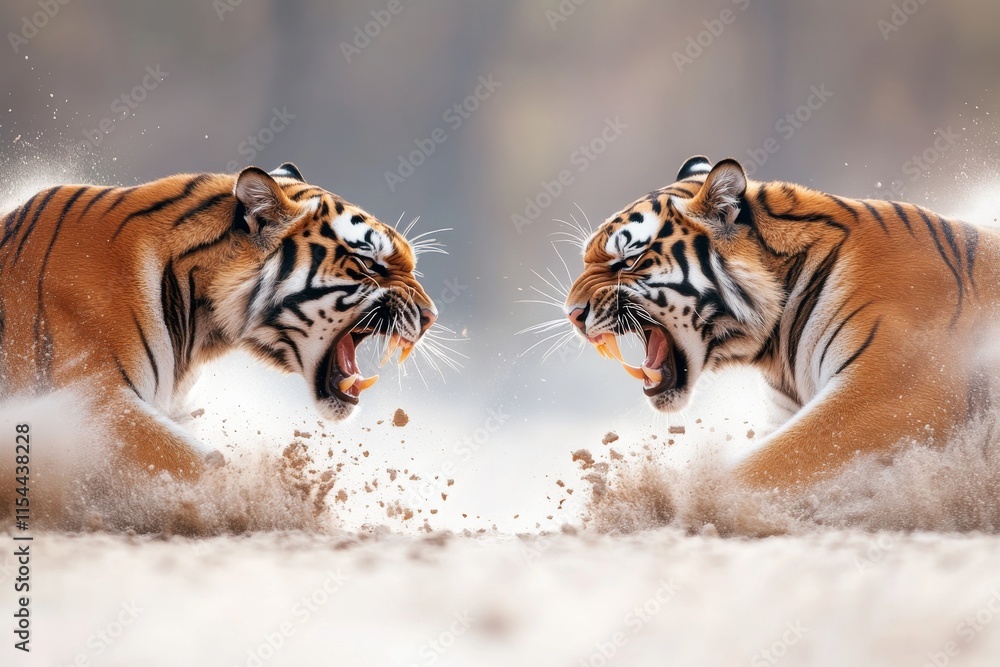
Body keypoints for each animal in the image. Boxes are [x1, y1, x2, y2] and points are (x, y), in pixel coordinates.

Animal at [564, 155, 1000, 489]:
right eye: (586, 259)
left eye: (628, 261)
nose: (571, 313)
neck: (777, 343)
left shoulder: (894, 395)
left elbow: (766, 465)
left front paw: (689, 502)